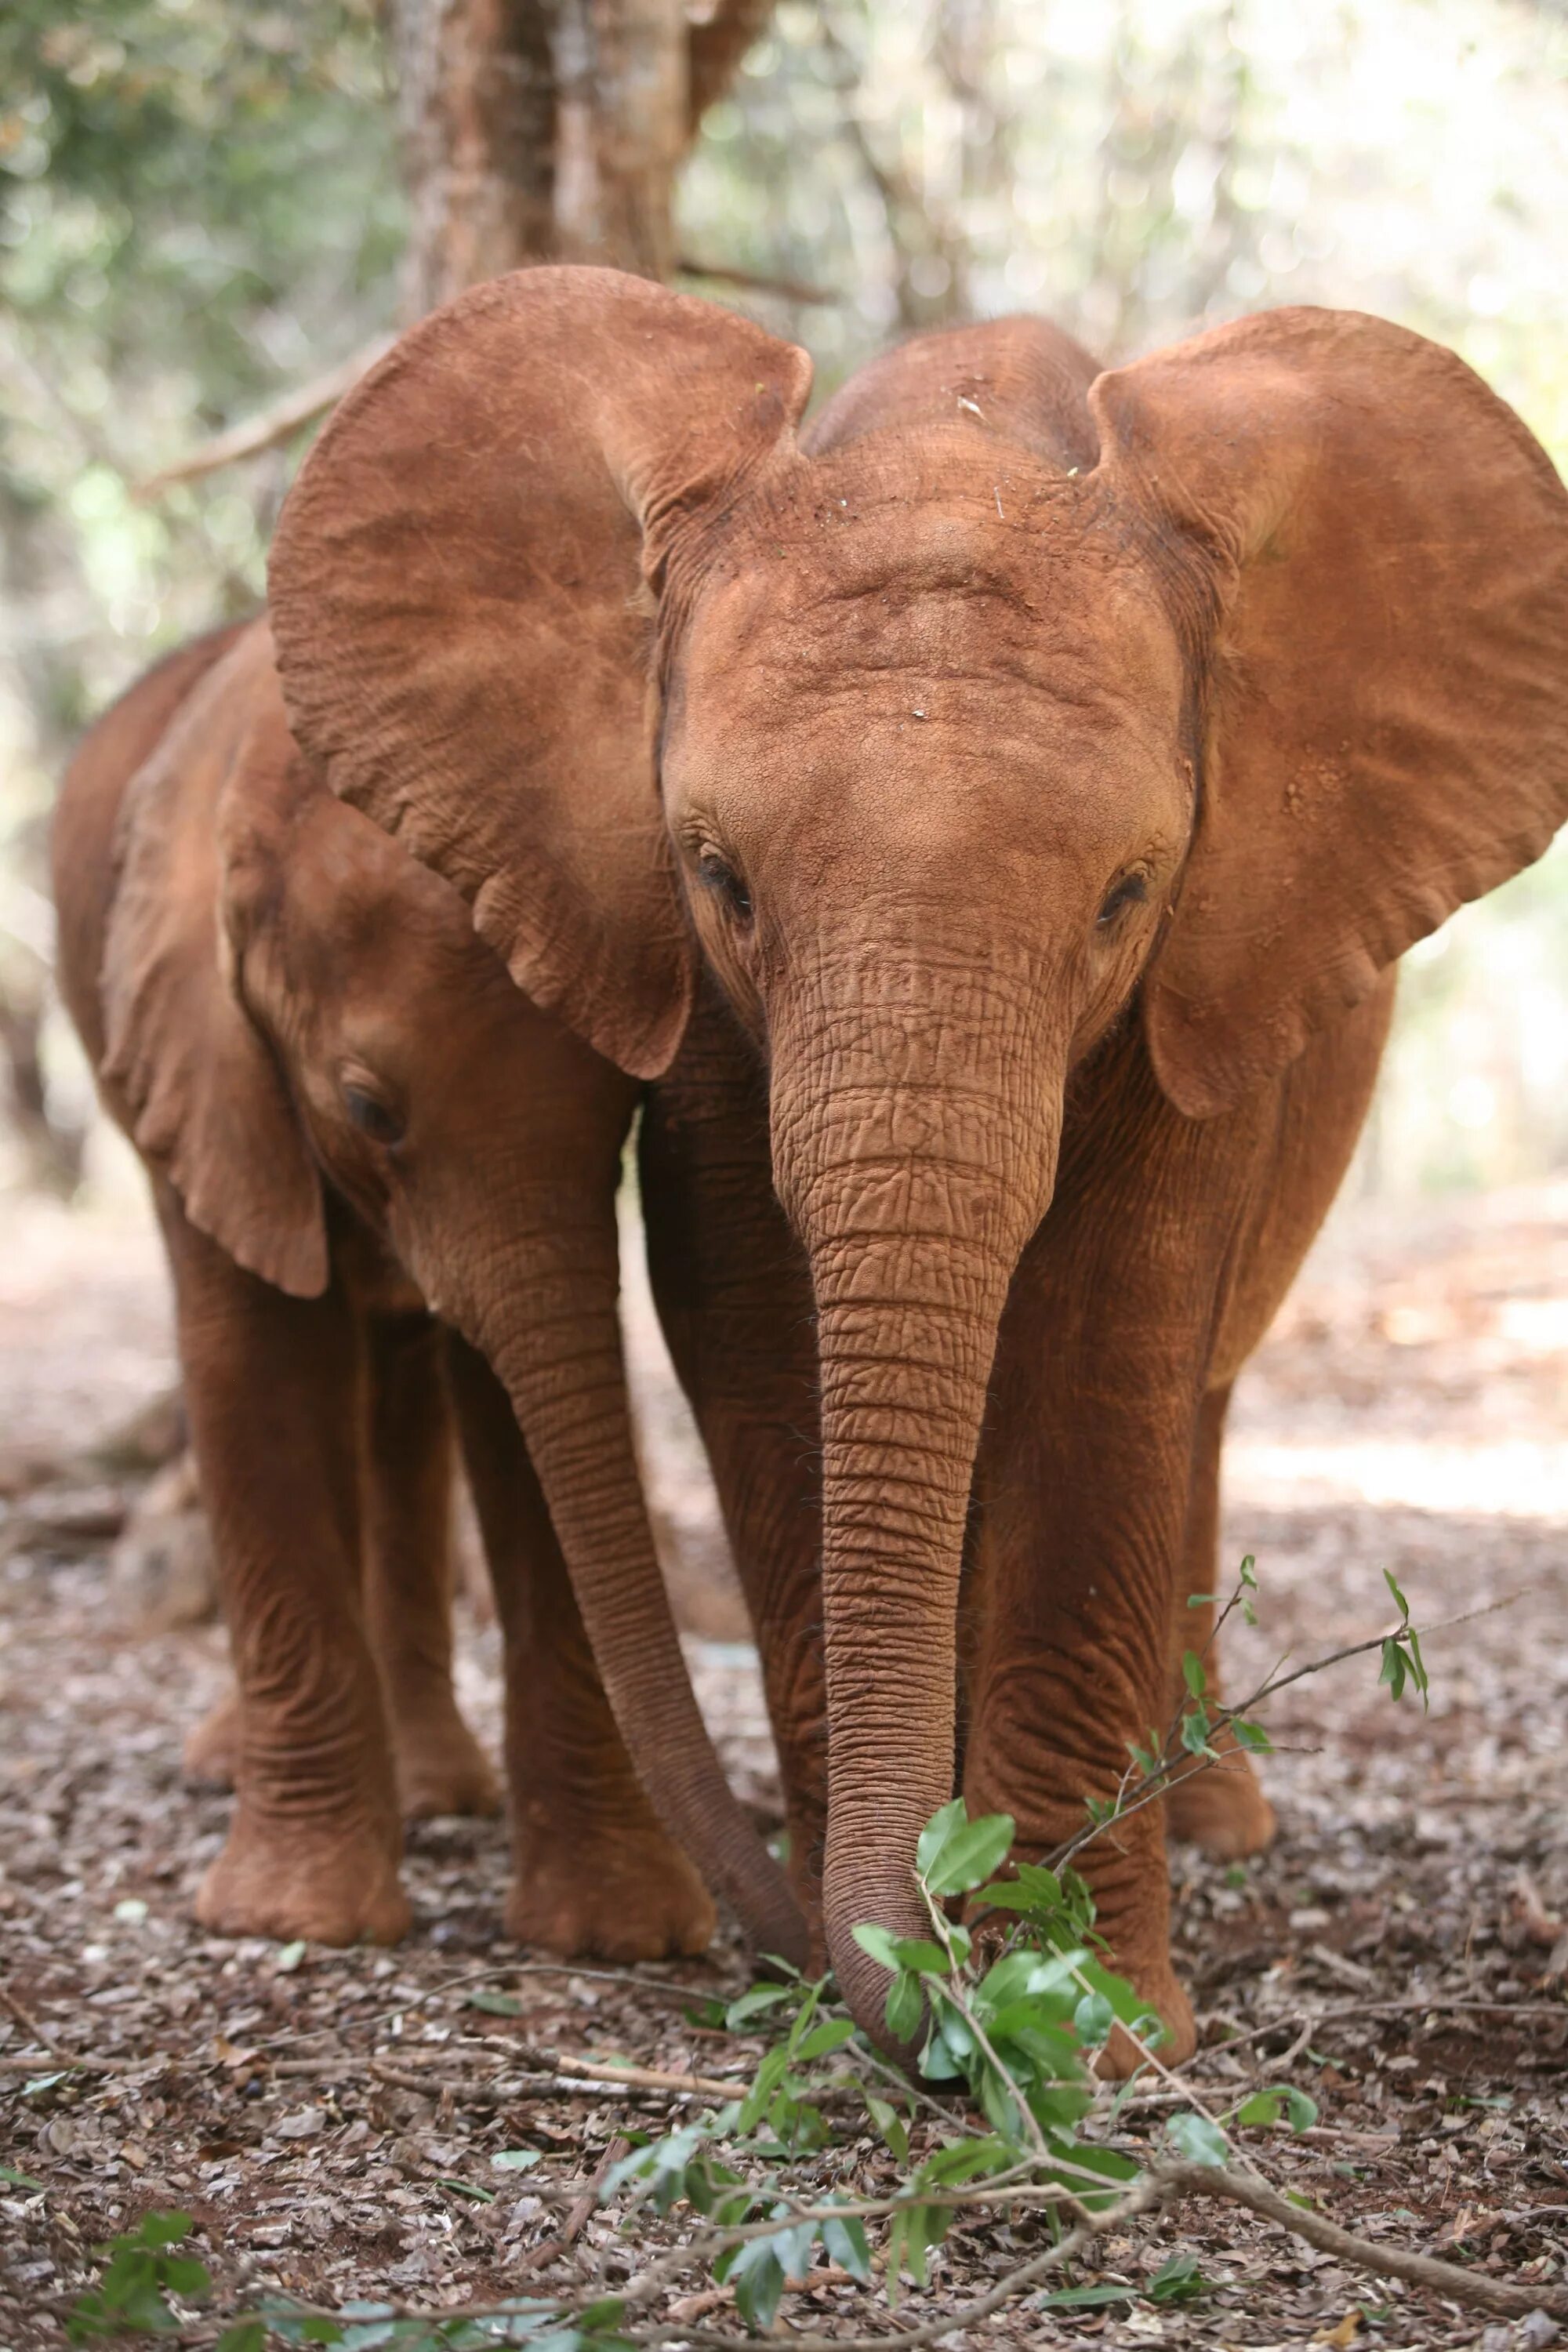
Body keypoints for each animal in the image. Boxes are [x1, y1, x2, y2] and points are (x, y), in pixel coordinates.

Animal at [53, 621, 804, 1966]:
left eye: (631, 1106)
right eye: (367, 1111)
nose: (794, 1951)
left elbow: (512, 1412)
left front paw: (613, 1937)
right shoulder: (202, 1057)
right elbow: (251, 1362)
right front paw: (297, 1922)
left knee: (405, 1396)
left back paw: (437, 1789)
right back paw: (247, 1769)